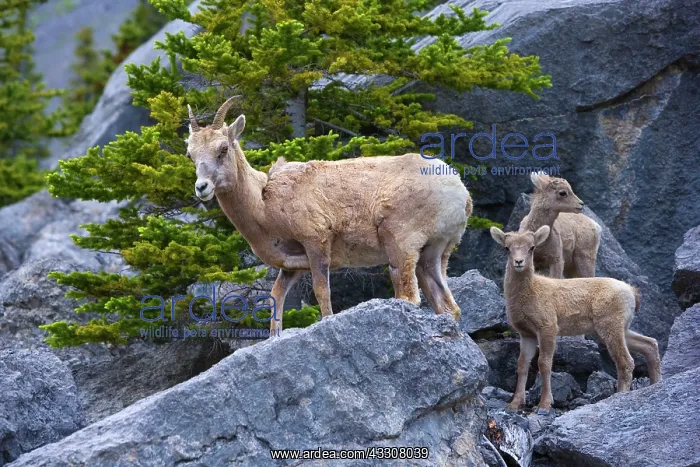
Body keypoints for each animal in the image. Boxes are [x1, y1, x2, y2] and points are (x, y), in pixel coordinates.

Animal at [186, 96, 472, 335]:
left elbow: (321, 291)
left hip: (401, 247)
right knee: (448, 306)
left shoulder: (317, 243)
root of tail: (460, 192)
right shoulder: (291, 265)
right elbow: (276, 296)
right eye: (190, 154)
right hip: (434, 255)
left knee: (409, 297)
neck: (264, 203)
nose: (202, 187)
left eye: (223, 149)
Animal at [490, 225, 661, 414]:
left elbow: (544, 363)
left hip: (611, 325)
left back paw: (620, 394)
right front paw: (514, 404)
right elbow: (522, 365)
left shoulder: (548, 327)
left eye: (532, 247)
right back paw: (655, 384)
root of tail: (632, 292)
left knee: (626, 361)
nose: (519, 262)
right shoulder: (526, 333)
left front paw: (544, 404)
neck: (531, 292)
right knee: (649, 344)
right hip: (617, 327)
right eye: (507, 248)